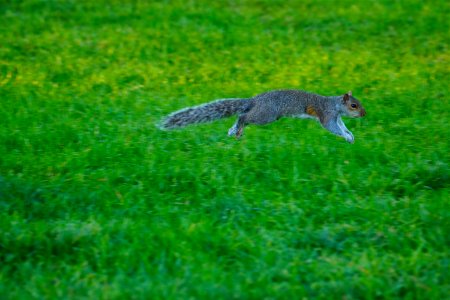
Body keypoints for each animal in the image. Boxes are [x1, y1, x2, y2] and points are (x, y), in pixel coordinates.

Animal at [158, 89, 366, 144]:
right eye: (353, 105)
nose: (364, 113)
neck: (335, 105)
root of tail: (254, 100)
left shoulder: (337, 118)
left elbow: (342, 127)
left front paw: (350, 135)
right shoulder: (327, 116)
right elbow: (333, 128)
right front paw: (346, 136)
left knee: (242, 115)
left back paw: (233, 130)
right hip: (267, 115)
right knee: (244, 117)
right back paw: (237, 130)